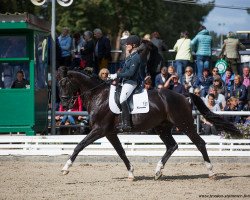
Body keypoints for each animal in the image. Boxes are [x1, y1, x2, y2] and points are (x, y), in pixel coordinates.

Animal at [57, 67, 241, 180]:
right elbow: (121, 152)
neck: (98, 95)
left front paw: (65, 168)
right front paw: (131, 174)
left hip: (185, 125)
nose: (64, 102)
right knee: (172, 146)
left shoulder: (99, 130)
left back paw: (211, 172)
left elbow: (79, 146)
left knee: (200, 143)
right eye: (59, 84)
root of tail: (183, 95)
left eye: (65, 83)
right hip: (162, 128)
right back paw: (158, 171)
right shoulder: (110, 132)